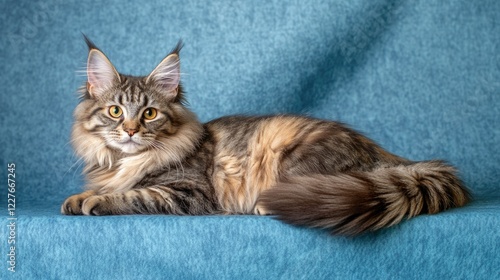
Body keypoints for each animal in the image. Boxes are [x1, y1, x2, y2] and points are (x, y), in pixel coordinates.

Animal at [60, 36, 470, 234]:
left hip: (294, 159)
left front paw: (94, 201)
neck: (124, 161)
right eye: (115, 111)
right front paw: (80, 196)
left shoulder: (187, 192)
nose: (130, 131)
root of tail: (385, 156)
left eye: (149, 114)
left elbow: (133, 195)